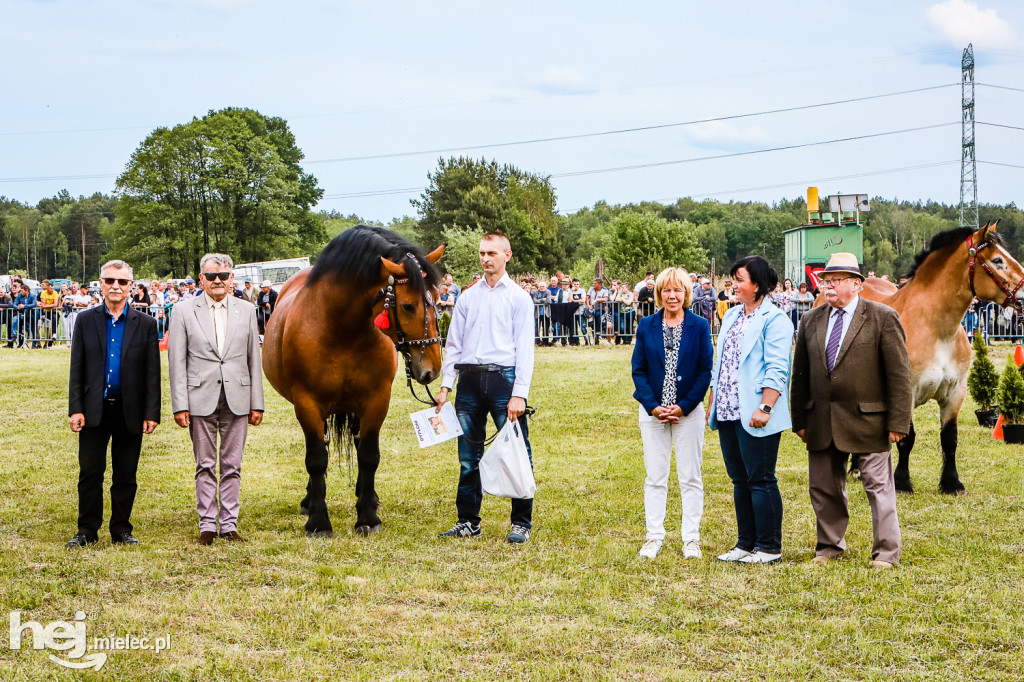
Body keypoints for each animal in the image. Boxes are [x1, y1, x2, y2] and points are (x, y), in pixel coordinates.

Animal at [262, 225, 442, 532]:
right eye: (408, 306)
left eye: (440, 300)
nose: (433, 367)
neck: (341, 329)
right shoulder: (307, 403)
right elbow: (316, 459)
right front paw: (318, 521)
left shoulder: (376, 399)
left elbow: (369, 456)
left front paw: (368, 516)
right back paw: (310, 500)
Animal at [839, 220, 1024, 491]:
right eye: (998, 260)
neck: (935, 329)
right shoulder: (905, 392)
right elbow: (907, 439)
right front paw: (902, 482)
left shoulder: (955, 393)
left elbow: (949, 438)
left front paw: (951, 483)